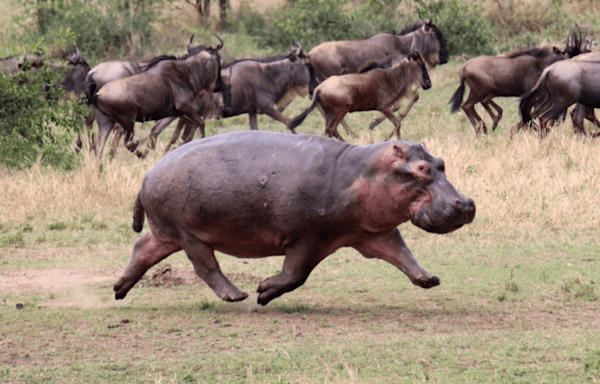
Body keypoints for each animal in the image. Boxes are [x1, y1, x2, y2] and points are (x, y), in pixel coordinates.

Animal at [115, 130, 476, 304]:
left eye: (441, 163)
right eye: (422, 169)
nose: (466, 204)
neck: (362, 171)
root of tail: (147, 174)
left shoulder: (372, 231)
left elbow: (401, 253)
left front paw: (429, 279)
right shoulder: (308, 237)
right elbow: (295, 274)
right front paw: (263, 291)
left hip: (167, 232)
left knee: (142, 248)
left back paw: (119, 289)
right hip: (189, 233)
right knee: (206, 266)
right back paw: (237, 295)